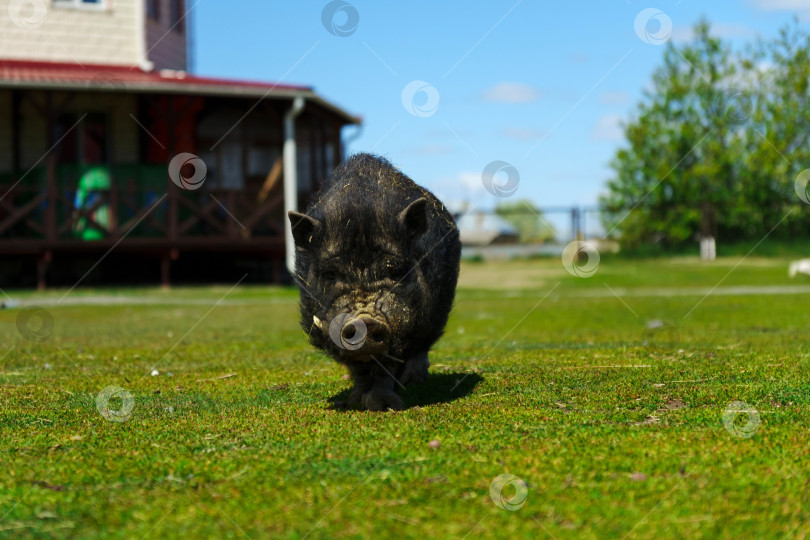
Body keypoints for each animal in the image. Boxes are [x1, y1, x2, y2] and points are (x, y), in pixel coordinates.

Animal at [288, 154, 458, 412]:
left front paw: (382, 405)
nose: (364, 321)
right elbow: (359, 369)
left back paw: (415, 381)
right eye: (331, 274)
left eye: (394, 270)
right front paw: (353, 401)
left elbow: (386, 367)